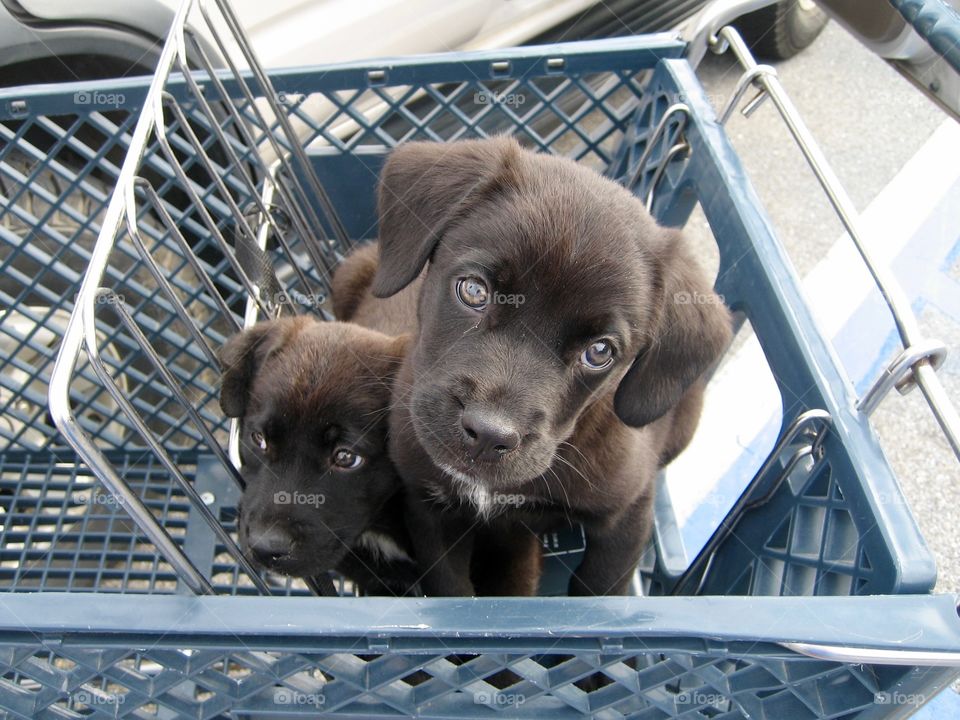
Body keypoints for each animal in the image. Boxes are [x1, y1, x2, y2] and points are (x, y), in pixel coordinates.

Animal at [334, 138, 732, 600]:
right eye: (474, 291)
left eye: (599, 352)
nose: (489, 435)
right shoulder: (427, 505)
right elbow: (450, 587)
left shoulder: (628, 512)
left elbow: (597, 591)